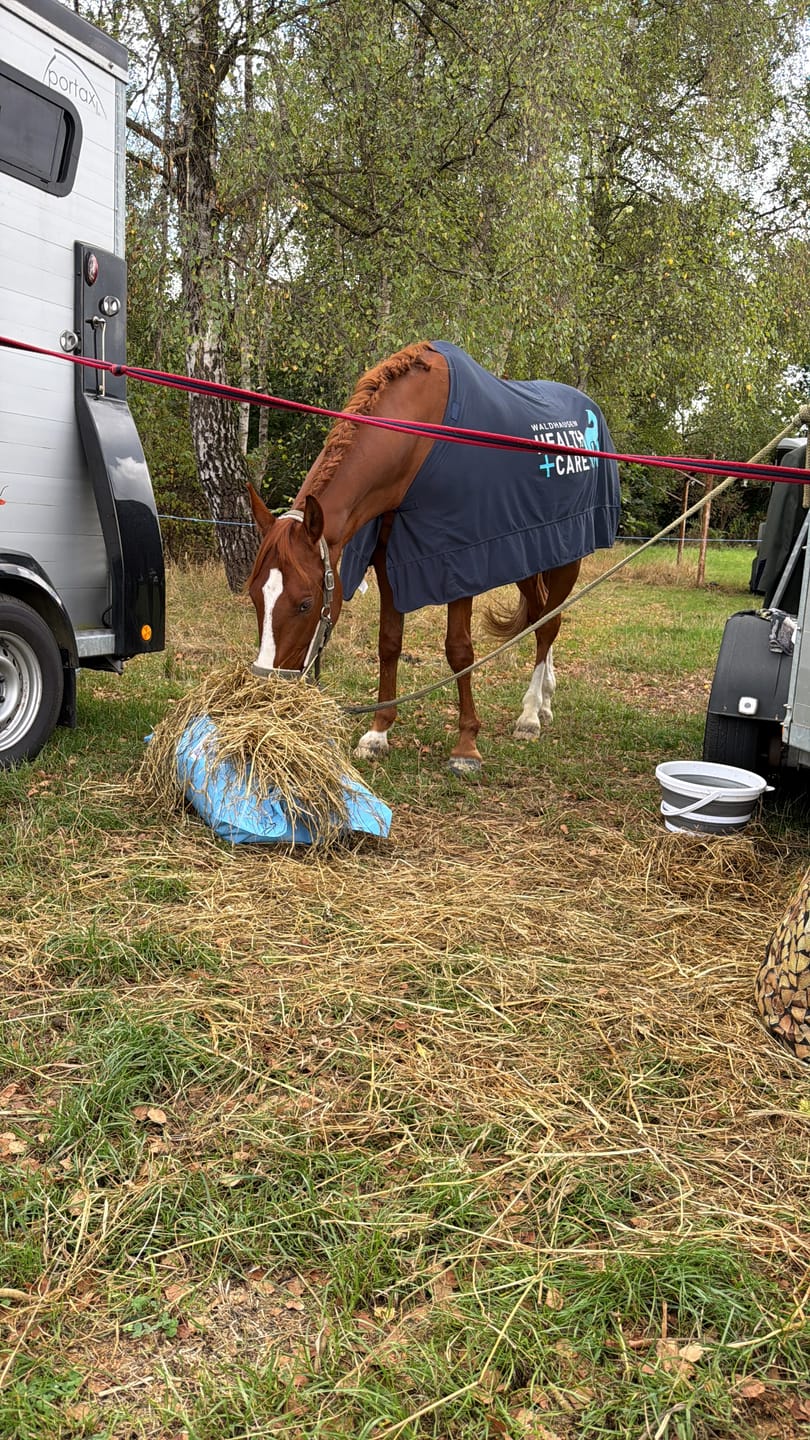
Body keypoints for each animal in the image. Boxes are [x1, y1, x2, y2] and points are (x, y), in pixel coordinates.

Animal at [246, 341, 620, 773]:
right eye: (255, 597)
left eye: (306, 604)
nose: (268, 689)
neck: (416, 442)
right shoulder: (389, 558)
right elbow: (389, 643)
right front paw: (378, 733)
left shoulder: (458, 559)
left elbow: (459, 651)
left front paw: (466, 746)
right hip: (529, 553)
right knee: (541, 616)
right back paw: (543, 701)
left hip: (565, 553)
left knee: (549, 625)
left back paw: (529, 715)